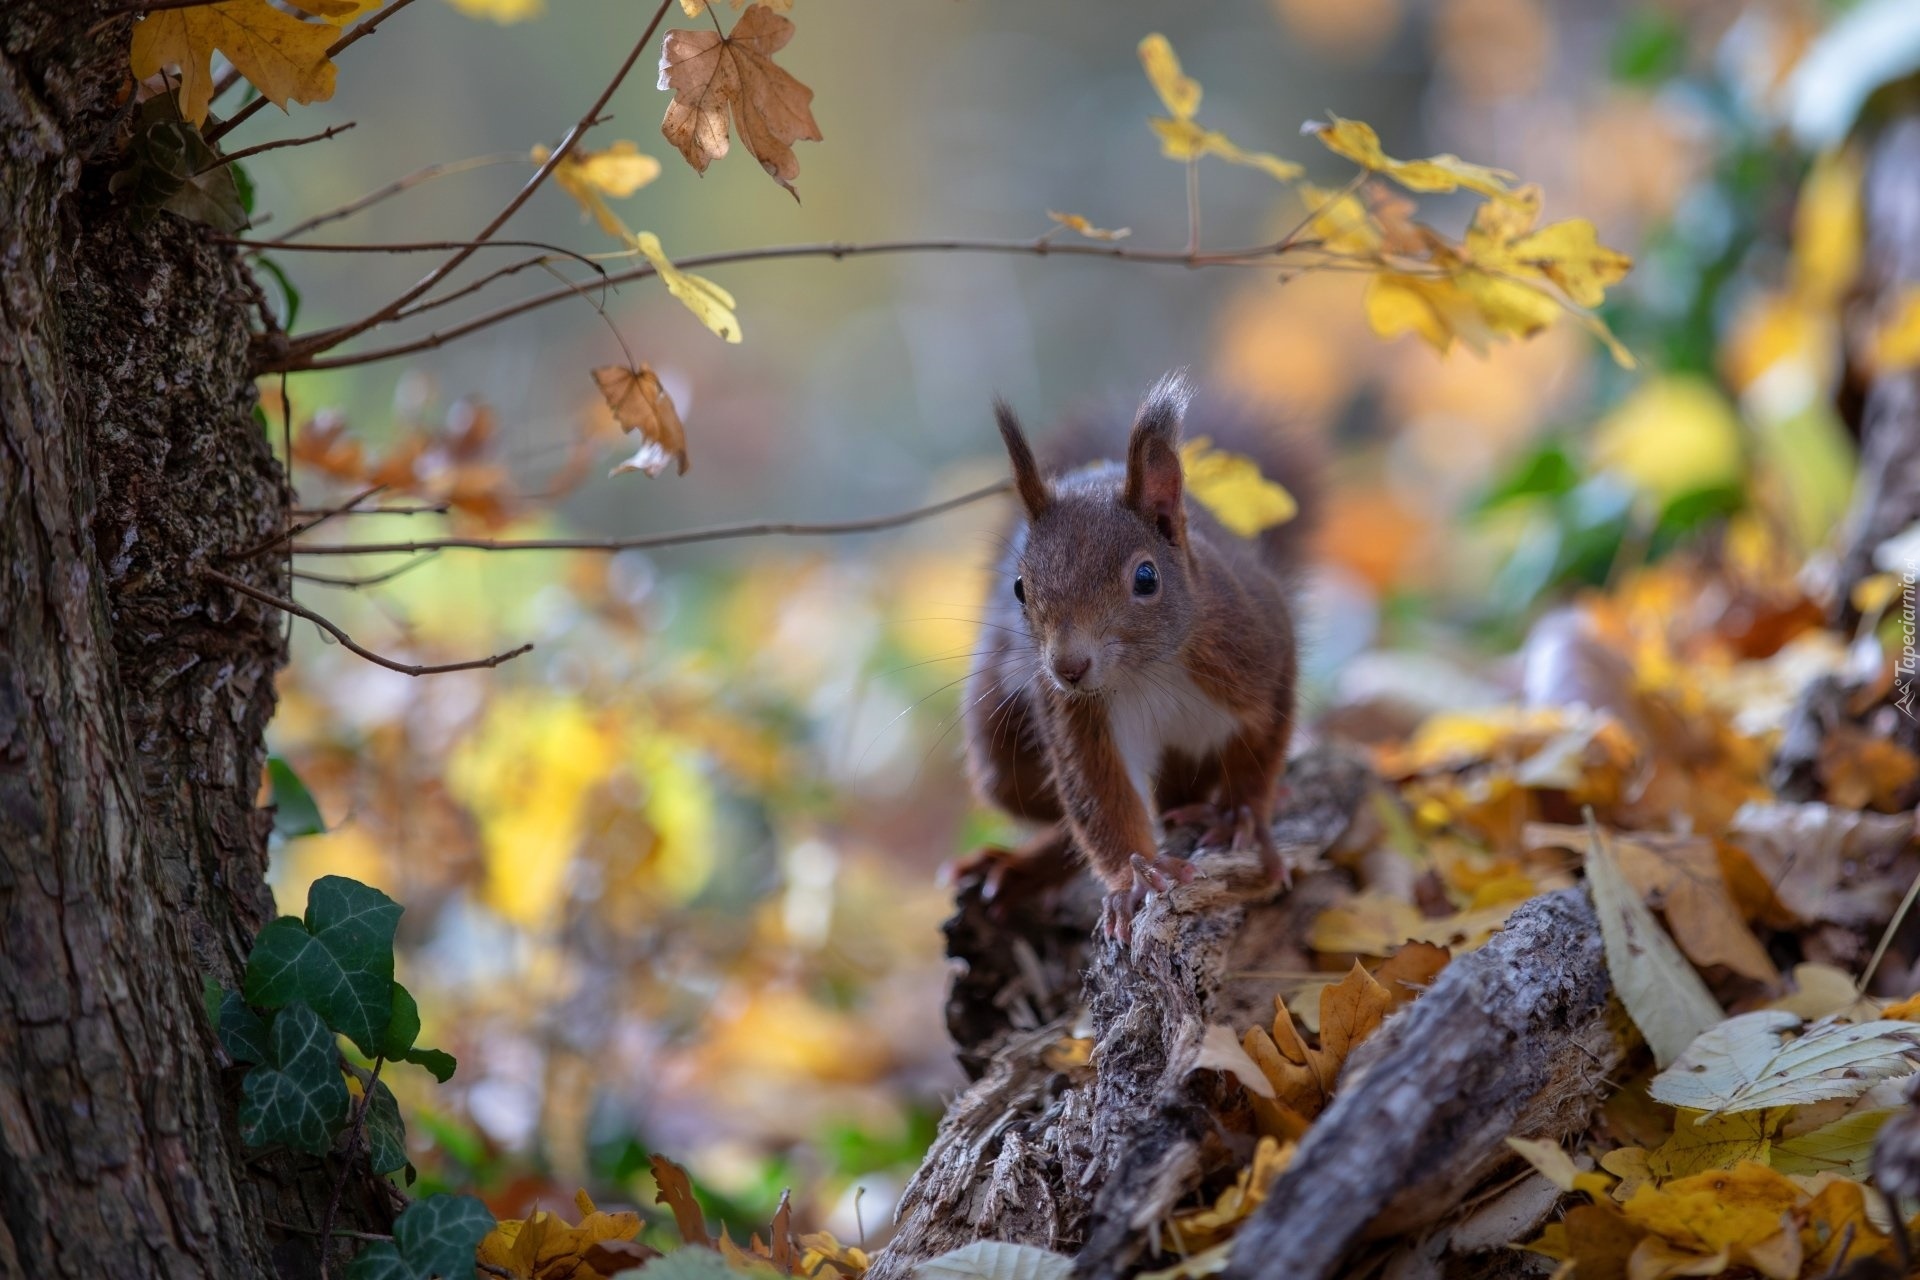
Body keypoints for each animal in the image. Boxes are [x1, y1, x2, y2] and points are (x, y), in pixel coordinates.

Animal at [967, 370, 1313, 940]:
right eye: (1019, 587)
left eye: (1146, 578)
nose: (1069, 667)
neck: (1148, 671)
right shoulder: (1074, 714)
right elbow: (1099, 795)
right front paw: (1135, 877)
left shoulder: (1259, 650)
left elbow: (1265, 739)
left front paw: (1243, 816)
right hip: (997, 741)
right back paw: (1021, 871)